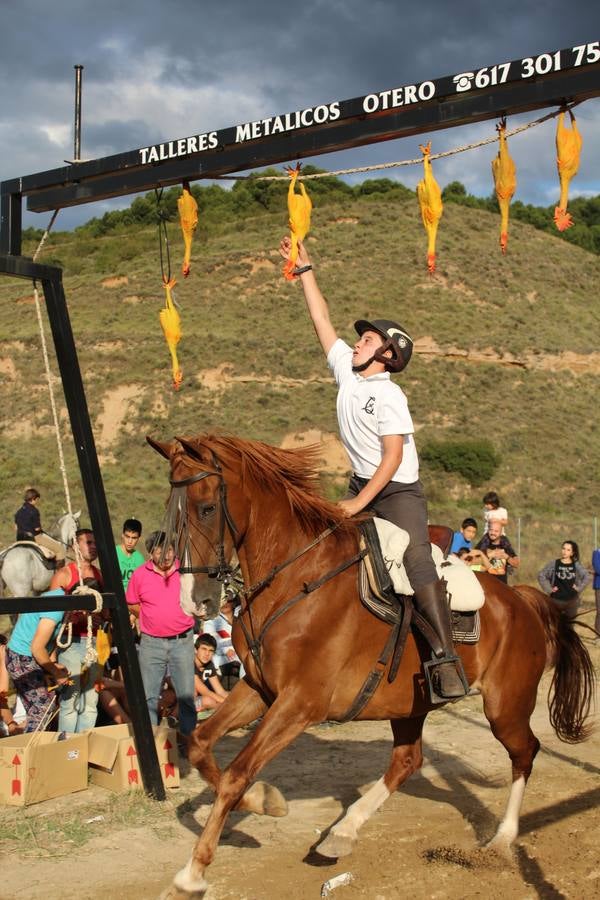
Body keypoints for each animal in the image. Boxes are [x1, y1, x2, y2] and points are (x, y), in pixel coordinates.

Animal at [148, 432, 592, 896]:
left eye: (206, 508)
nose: (192, 602)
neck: (293, 578)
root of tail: (520, 598)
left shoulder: (299, 704)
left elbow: (237, 774)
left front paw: (192, 875)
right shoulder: (259, 690)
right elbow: (199, 743)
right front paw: (264, 800)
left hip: (504, 707)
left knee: (525, 752)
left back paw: (502, 839)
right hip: (411, 702)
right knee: (408, 761)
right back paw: (343, 831)